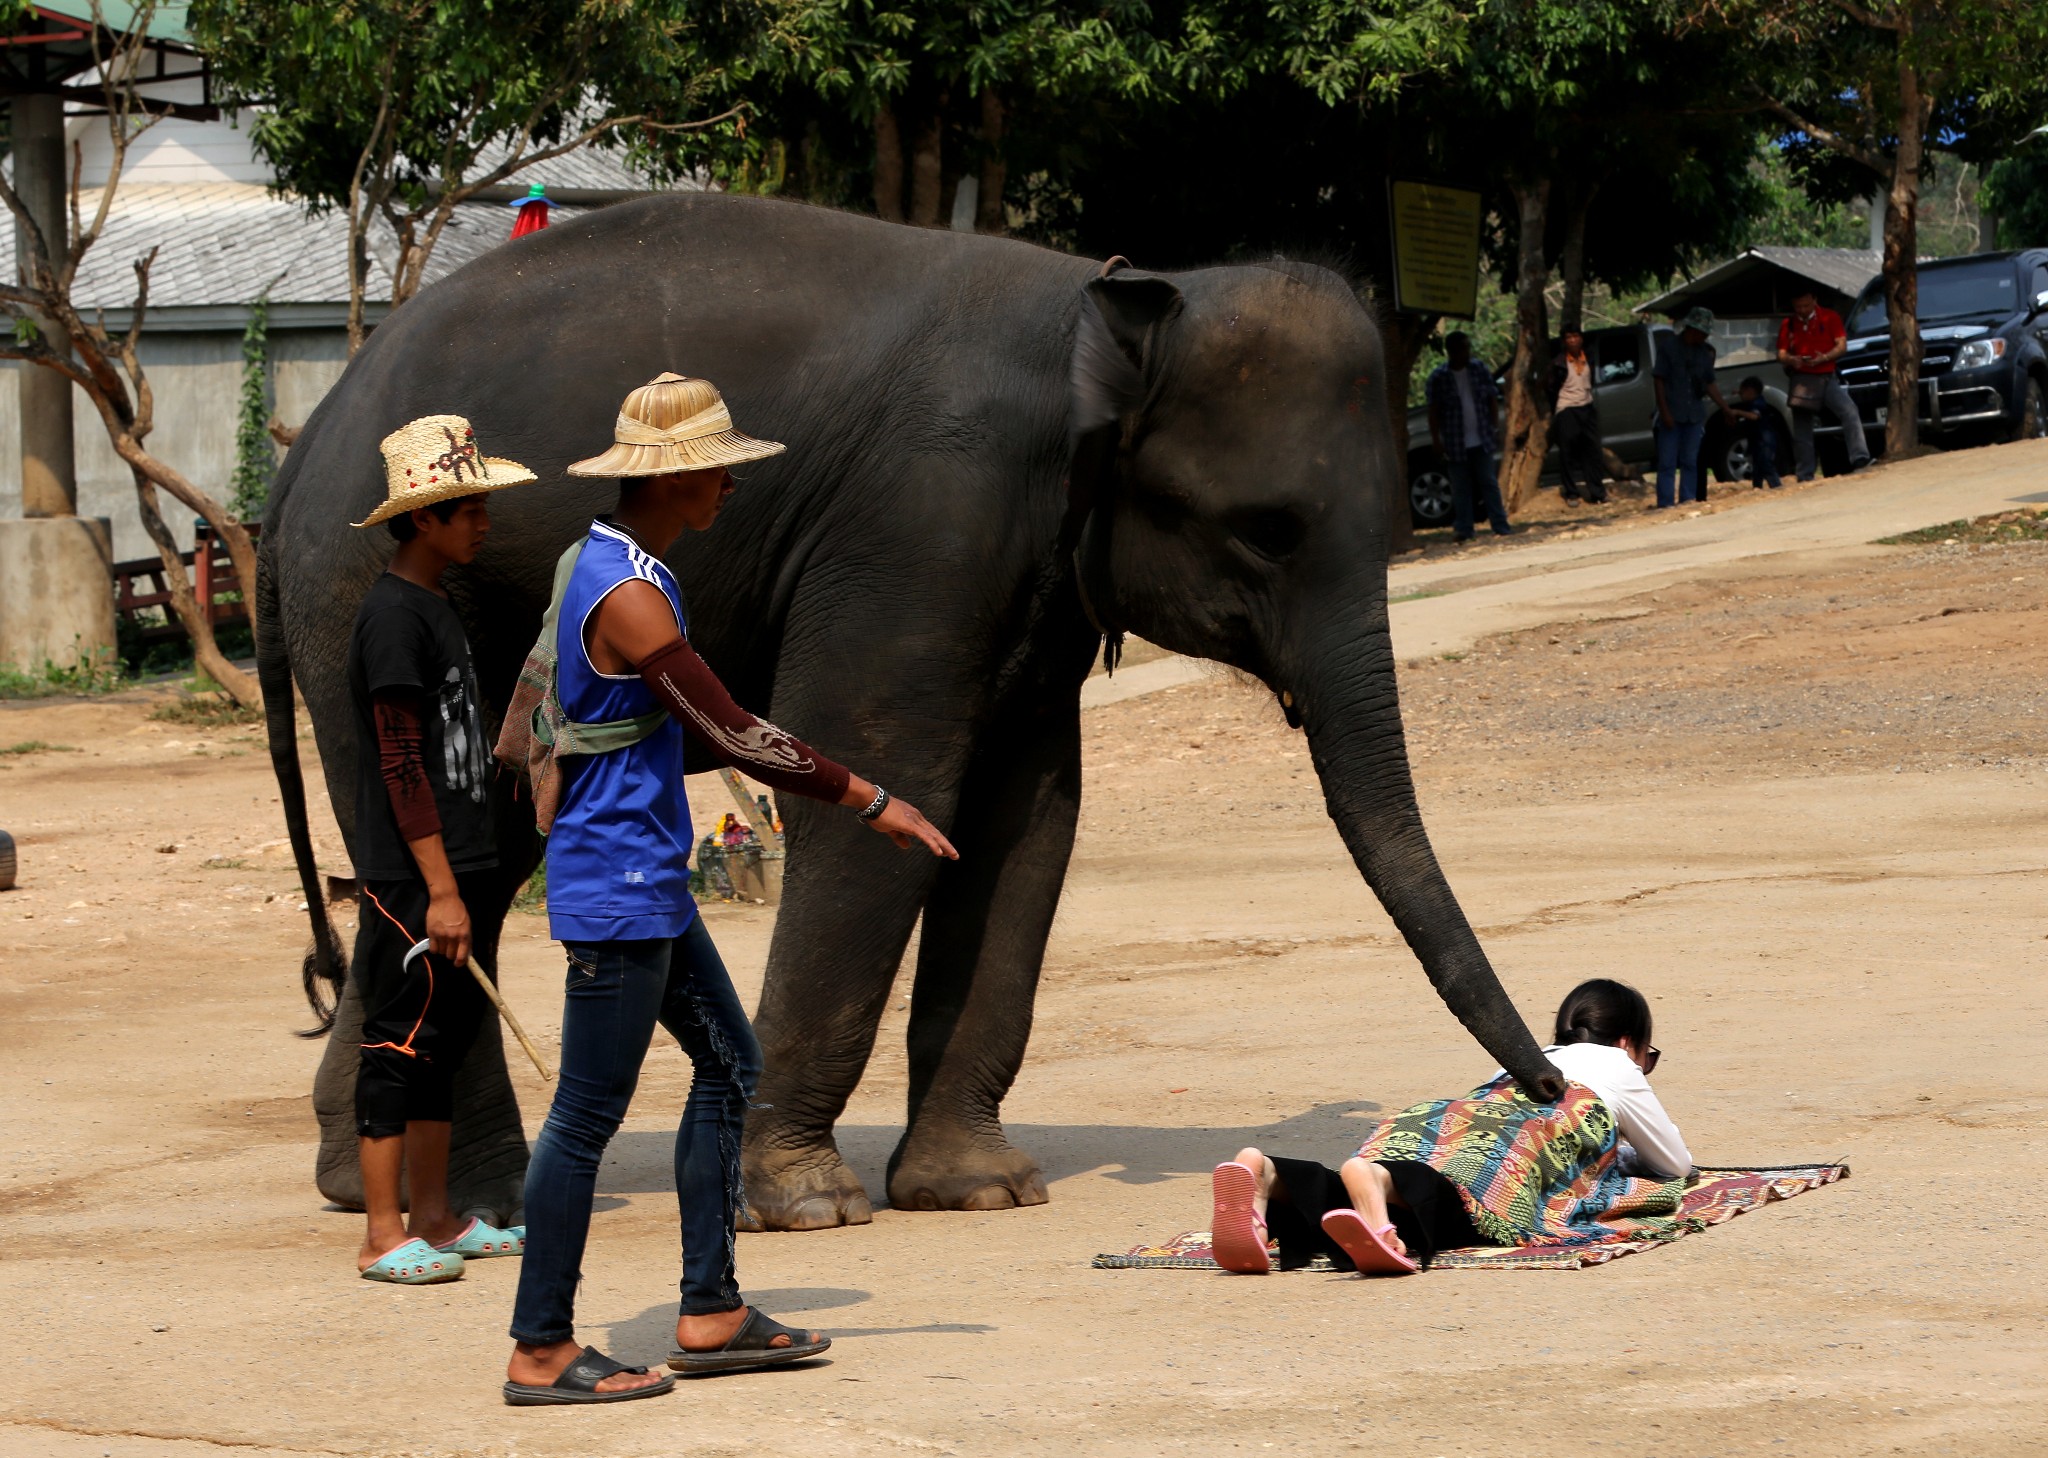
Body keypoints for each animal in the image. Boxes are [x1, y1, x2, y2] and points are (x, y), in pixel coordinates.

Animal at [260, 188, 1564, 1220]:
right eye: (1267, 531)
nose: (1553, 1085)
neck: (1106, 301)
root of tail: (304, 444)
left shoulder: (1030, 577)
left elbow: (1025, 823)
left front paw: (977, 1190)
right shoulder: (920, 525)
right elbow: (885, 787)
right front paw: (807, 1205)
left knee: (433, 876)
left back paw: (352, 1180)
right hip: (375, 596)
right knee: (463, 866)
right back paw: (486, 1202)